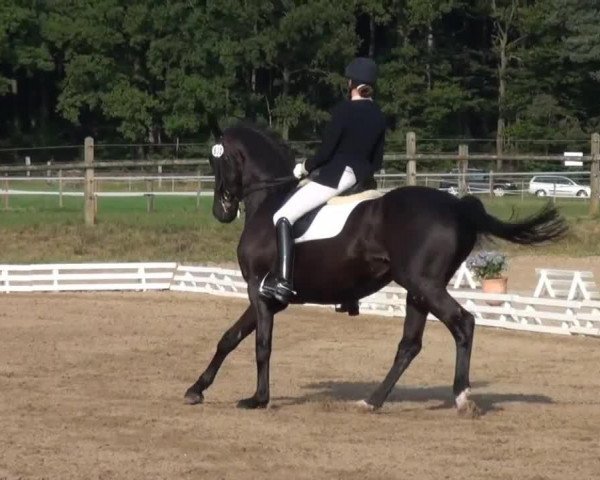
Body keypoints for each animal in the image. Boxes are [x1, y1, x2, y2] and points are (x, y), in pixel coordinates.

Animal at [185, 122, 568, 414]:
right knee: (409, 345)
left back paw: (461, 398)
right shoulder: (267, 295)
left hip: (424, 284)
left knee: (463, 323)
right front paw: (196, 389)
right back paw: (373, 401)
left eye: (216, 159)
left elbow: (261, 344)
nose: (221, 211)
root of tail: (458, 206)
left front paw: (258, 399)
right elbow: (229, 338)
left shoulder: (259, 289)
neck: (270, 201)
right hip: (418, 290)